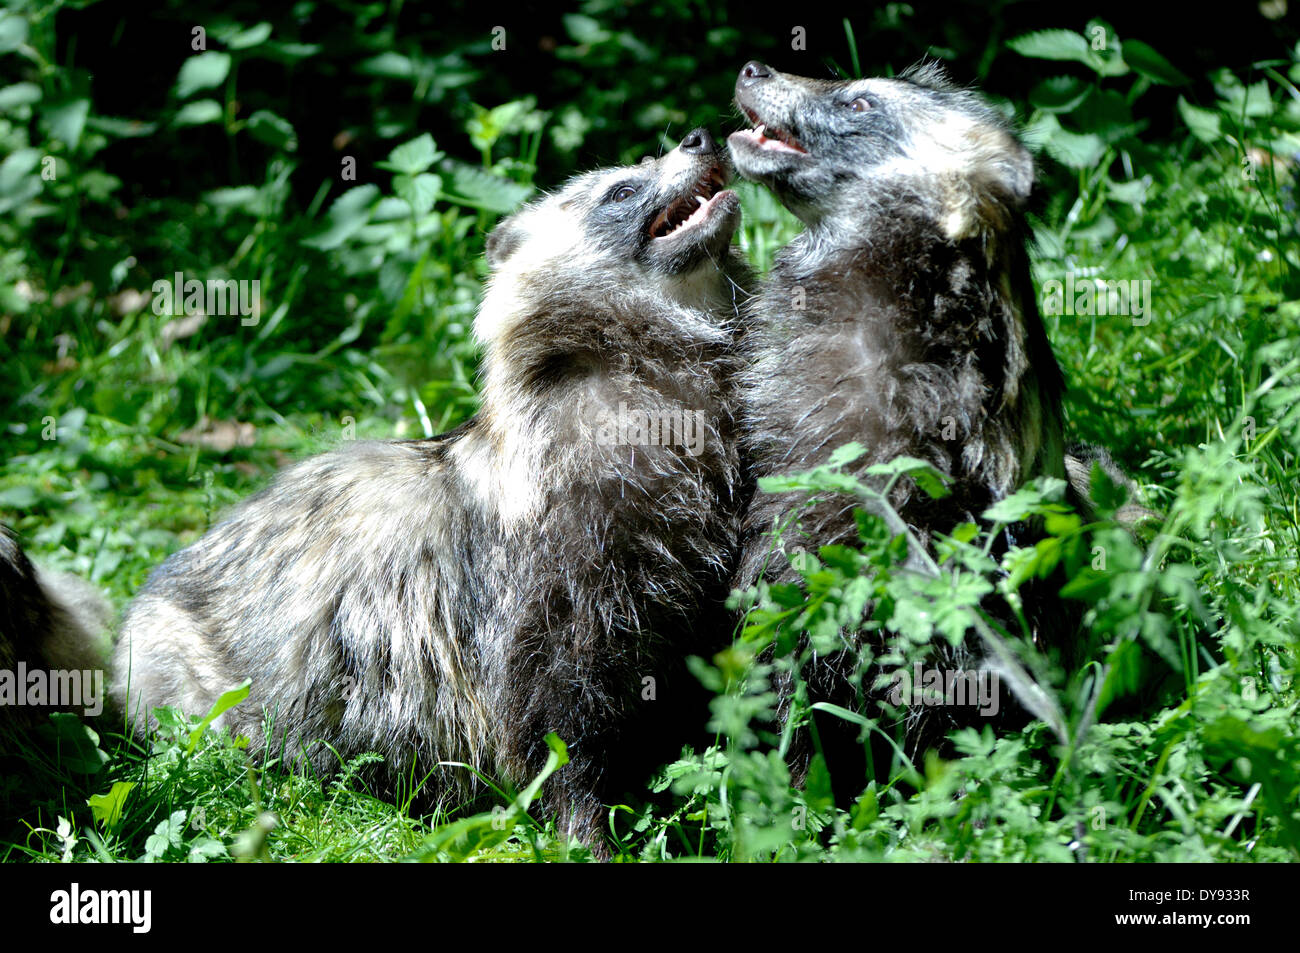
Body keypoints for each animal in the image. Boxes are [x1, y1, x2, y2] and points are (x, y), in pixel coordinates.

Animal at [115, 128, 748, 847]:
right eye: (619, 188)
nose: (699, 136)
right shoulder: (550, 565)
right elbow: (551, 703)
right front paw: (582, 823)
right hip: (183, 674)